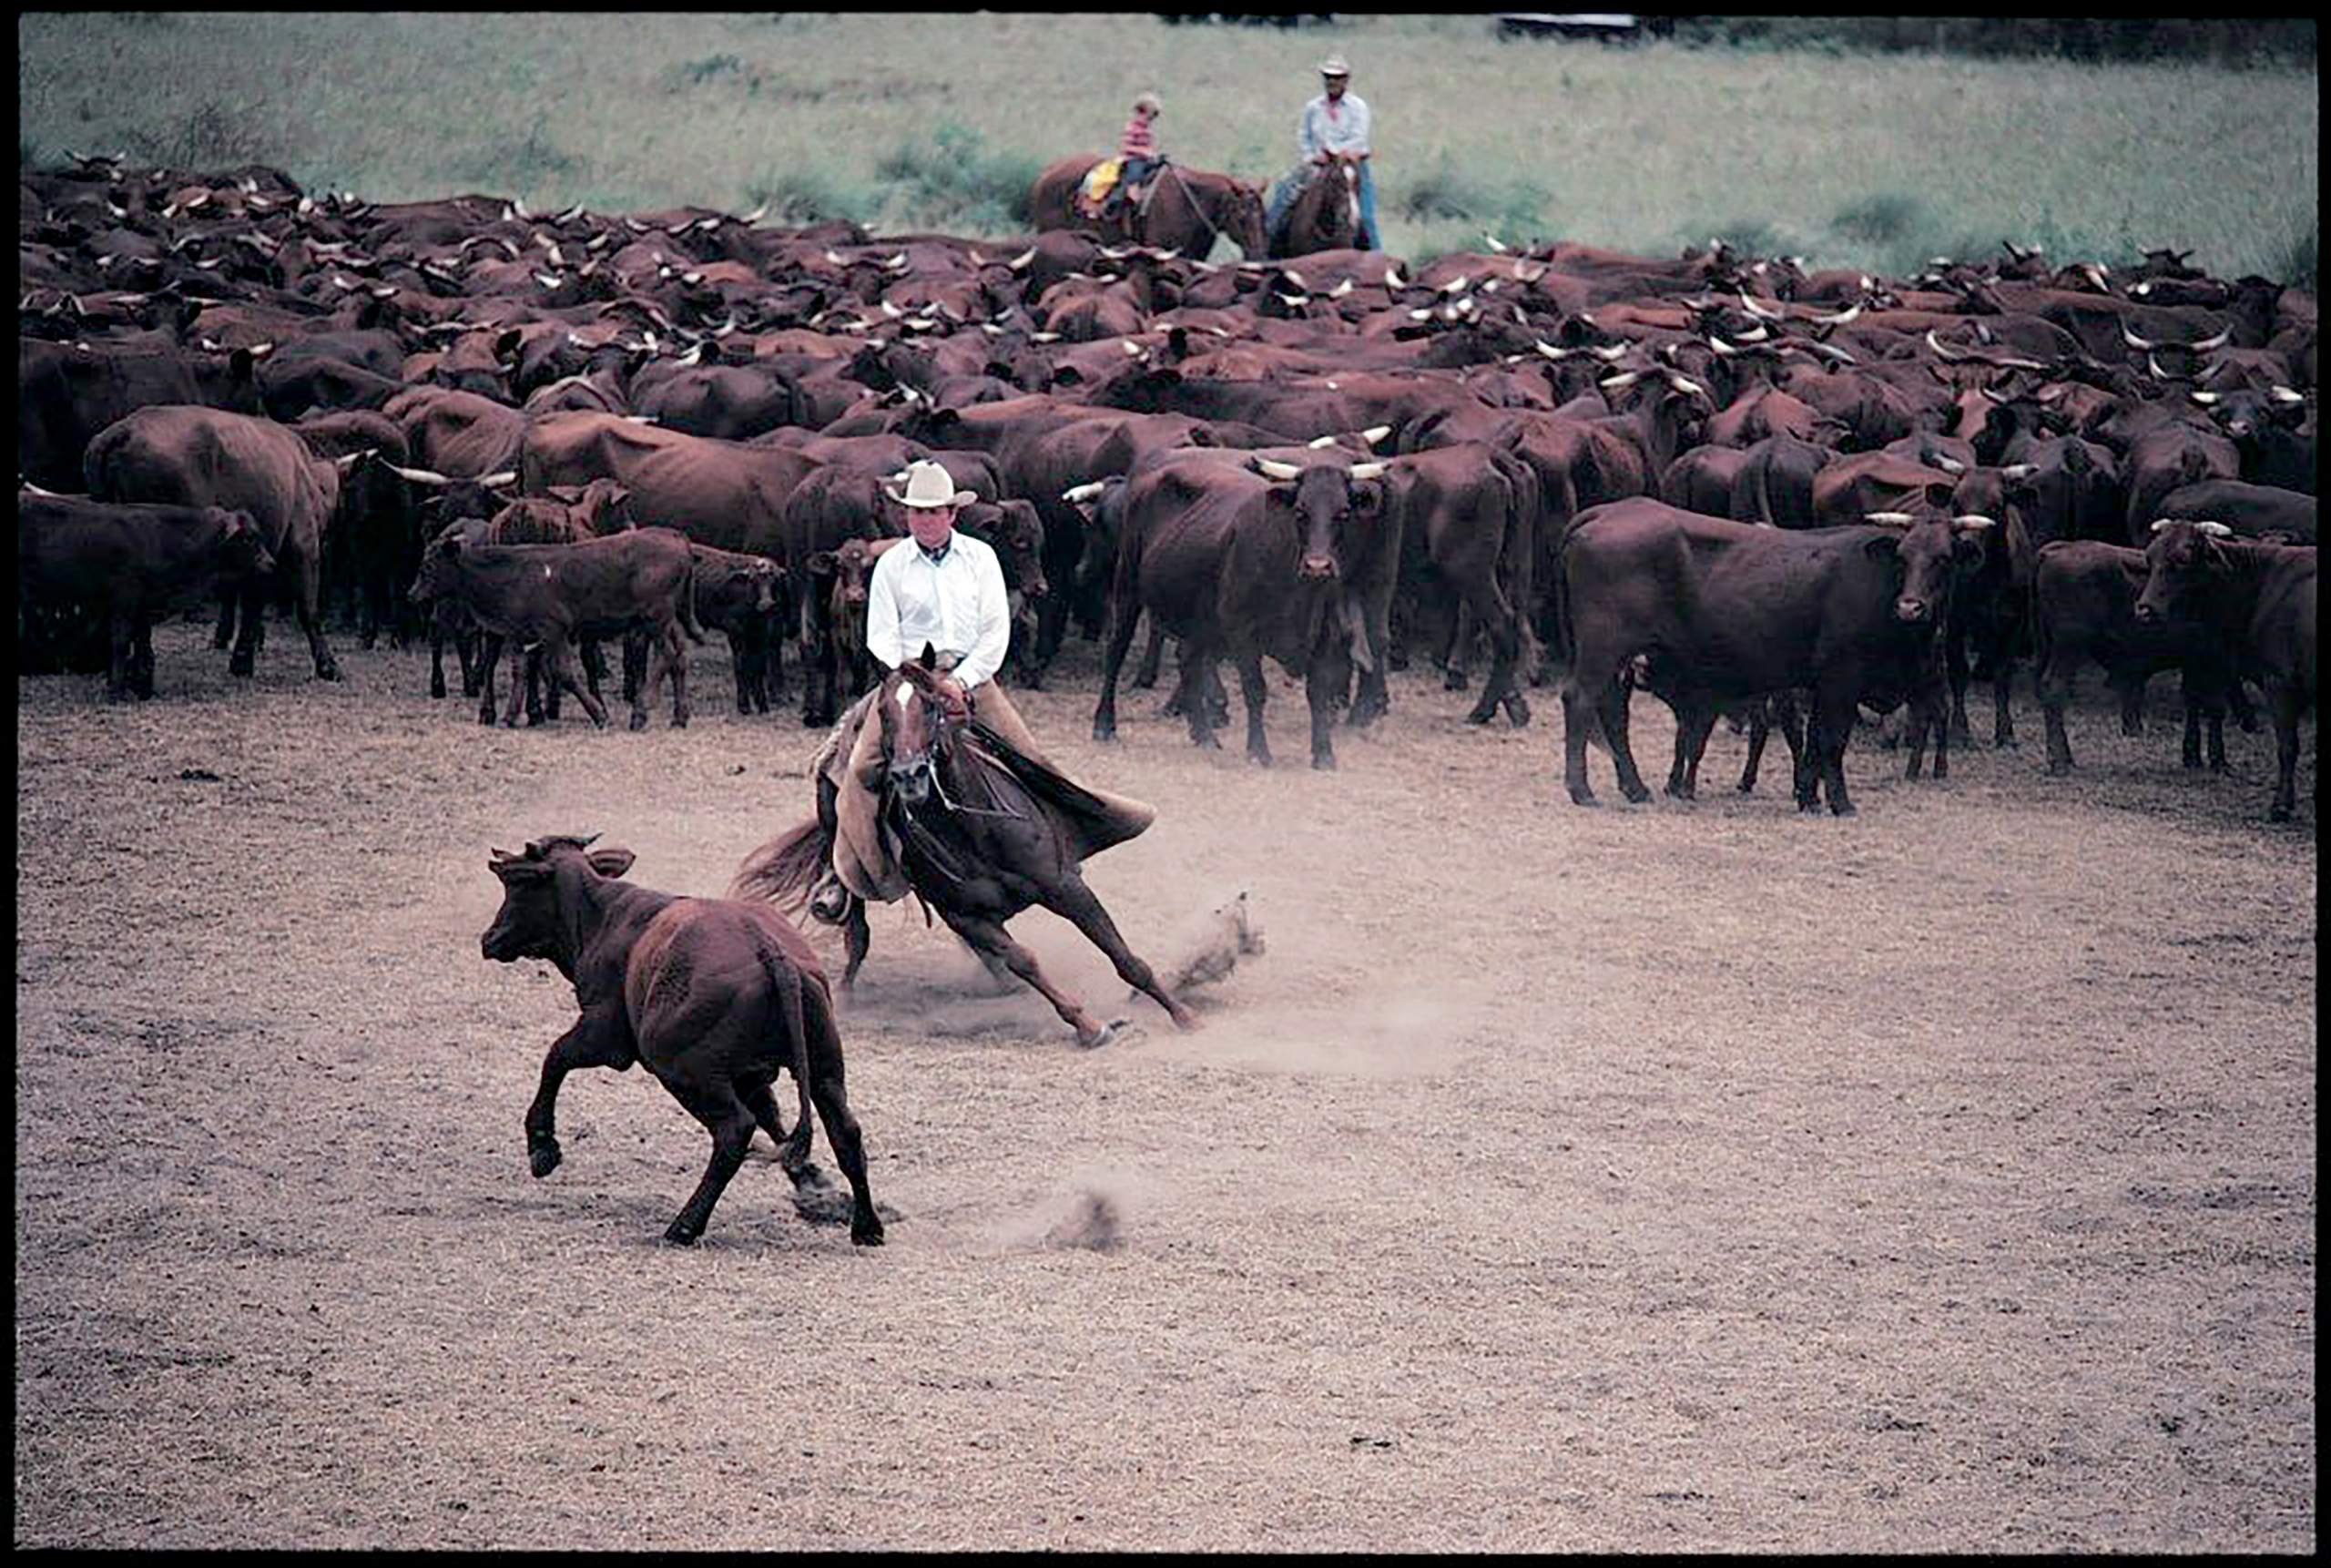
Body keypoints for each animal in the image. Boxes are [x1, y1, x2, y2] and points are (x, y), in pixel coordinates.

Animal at [18, 491, 277, 698]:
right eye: (248, 538)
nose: (271, 564)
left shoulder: (142, 604)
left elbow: (140, 640)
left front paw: (137, 685)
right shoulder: (124, 599)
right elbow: (121, 642)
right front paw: (116, 691)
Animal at [477, 829, 876, 1248]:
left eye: (515, 883)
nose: (490, 938)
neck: (602, 914)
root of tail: (773, 953)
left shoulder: (605, 1035)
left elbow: (556, 1058)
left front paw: (542, 1147)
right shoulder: (749, 1075)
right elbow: (774, 1118)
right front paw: (813, 1185)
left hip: (683, 1071)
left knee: (734, 1130)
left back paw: (684, 1225)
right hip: (823, 1069)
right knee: (846, 1132)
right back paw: (867, 1226)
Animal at [727, 652, 1202, 1044]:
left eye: (933, 705)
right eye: (885, 712)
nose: (910, 775)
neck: (976, 832)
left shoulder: (1065, 887)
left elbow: (1123, 956)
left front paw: (1184, 1014)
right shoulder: (967, 916)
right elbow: (1025, 960)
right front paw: (1088, 1025)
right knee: (857, 929)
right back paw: (844, 994)